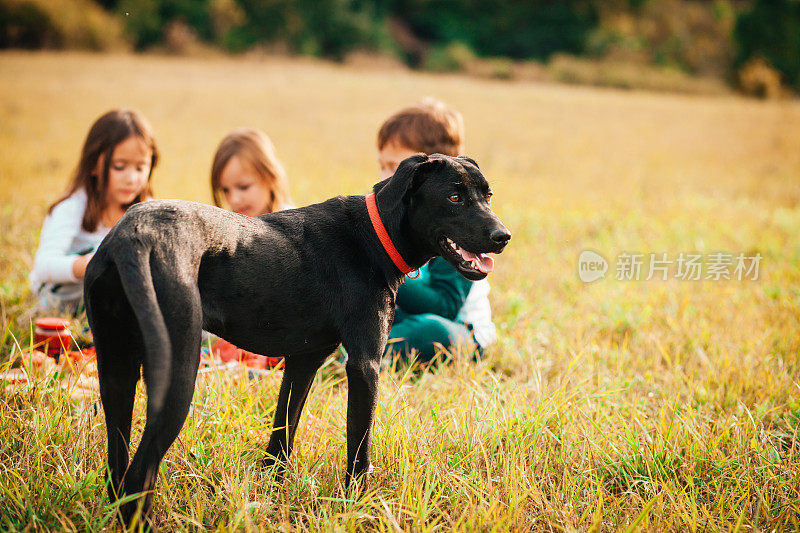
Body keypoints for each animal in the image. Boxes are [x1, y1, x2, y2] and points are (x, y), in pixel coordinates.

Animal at [84, 153, 510, 524]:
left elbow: (282, 437)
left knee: (118, 467)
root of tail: (132, 236)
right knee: (140, 474)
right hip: (178, 372)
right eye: (454, 197)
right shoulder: (365, 366)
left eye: (488, 195)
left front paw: (273, 493)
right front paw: (357, 506)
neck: (374, 237)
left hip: (117, 372)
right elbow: (359, 450)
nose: (502, 236)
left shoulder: (303, 362)